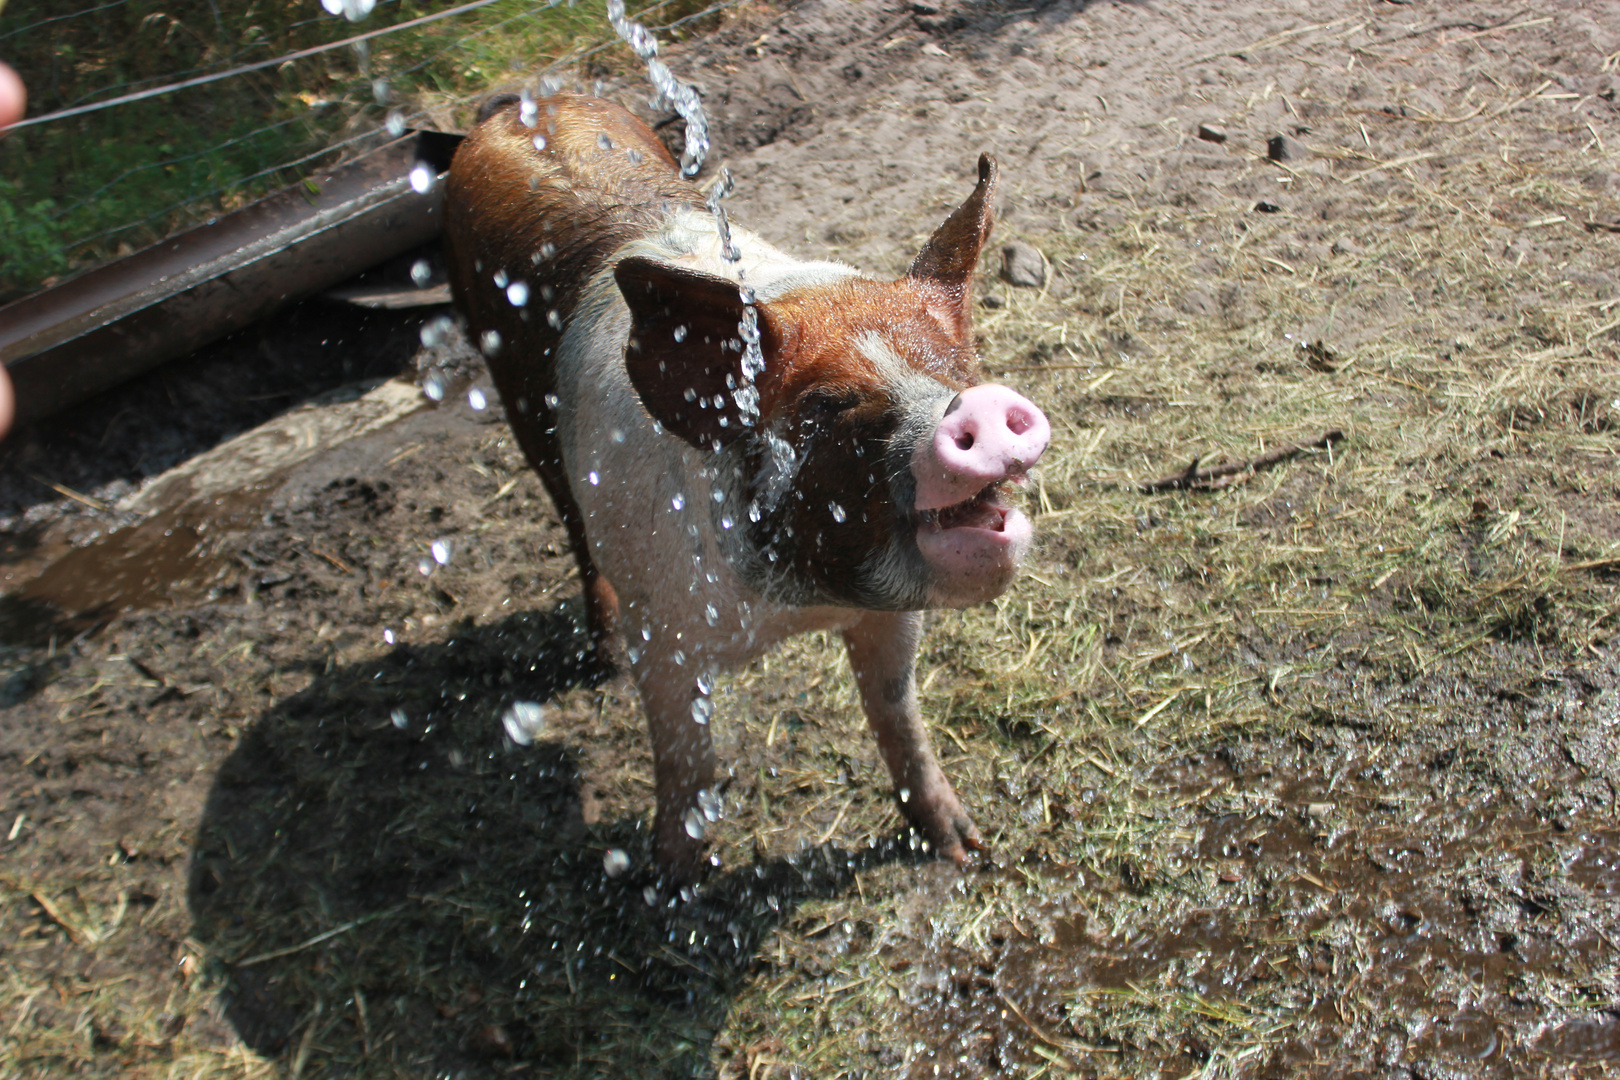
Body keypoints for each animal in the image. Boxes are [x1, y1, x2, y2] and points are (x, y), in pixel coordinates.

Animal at [443, 97, 1049, 880]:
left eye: (958, 370)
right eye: (823, 409)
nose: (975, 408)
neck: (792, 606)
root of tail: (511, 108)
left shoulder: (891, 615)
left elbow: (896, 711)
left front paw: (965, 847)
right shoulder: (661, 630)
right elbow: (683, 757)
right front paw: (672, 883)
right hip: (513, 395)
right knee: (569, 520)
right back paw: (601, 660)